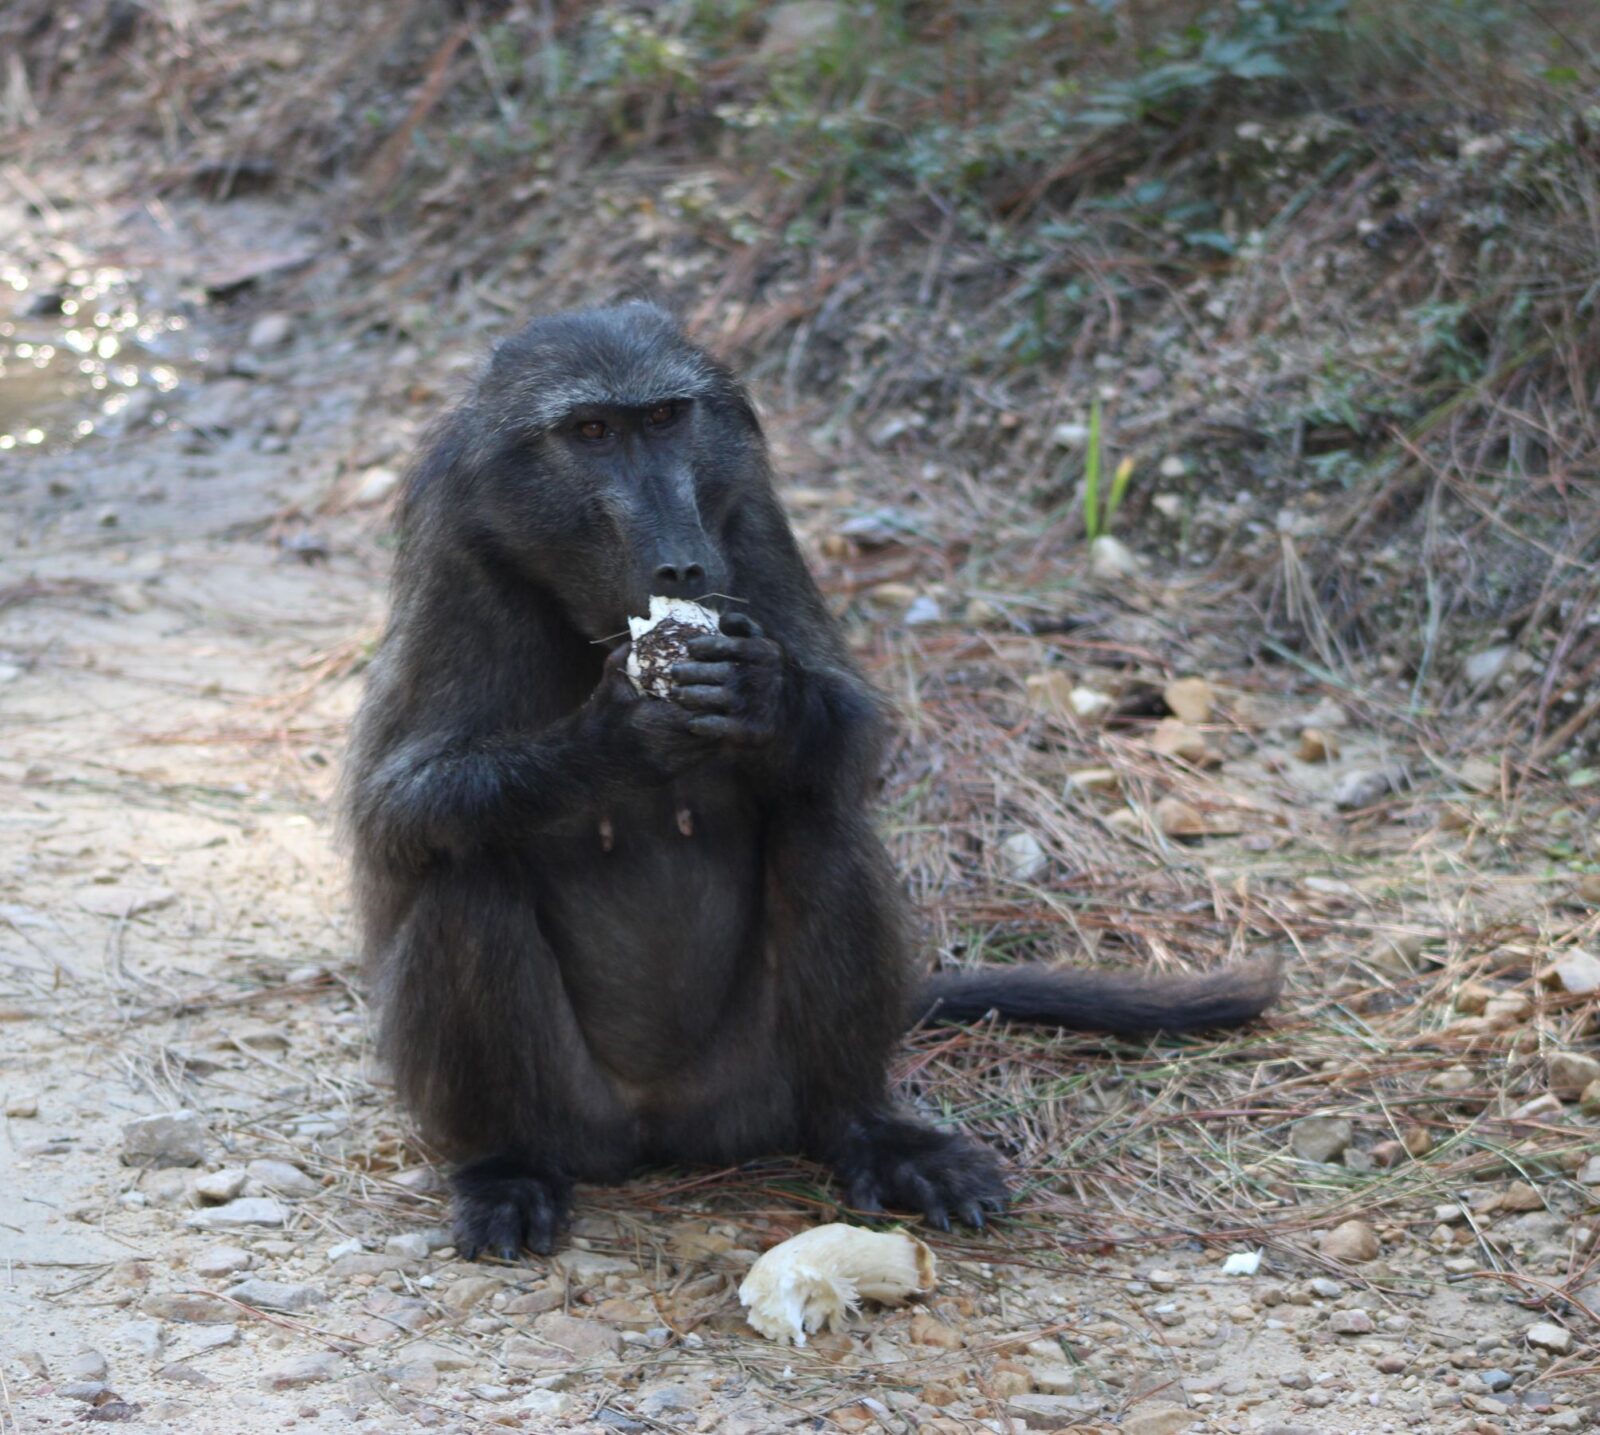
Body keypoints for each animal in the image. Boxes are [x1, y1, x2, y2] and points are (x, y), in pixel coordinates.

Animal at [341, 301, 1282, 1259]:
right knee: (469, 869)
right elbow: (393, 810)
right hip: (577, 1109)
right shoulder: (458, 562)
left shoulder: (749, 520)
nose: (681, 565)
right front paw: (615, 737)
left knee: (818, 823)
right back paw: (508, 1165)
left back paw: (869, 1132)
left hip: (755, 1084)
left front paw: (769, 696)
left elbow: (852, 740)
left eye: (665, 419)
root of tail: (659, 1126)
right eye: (592, 432)